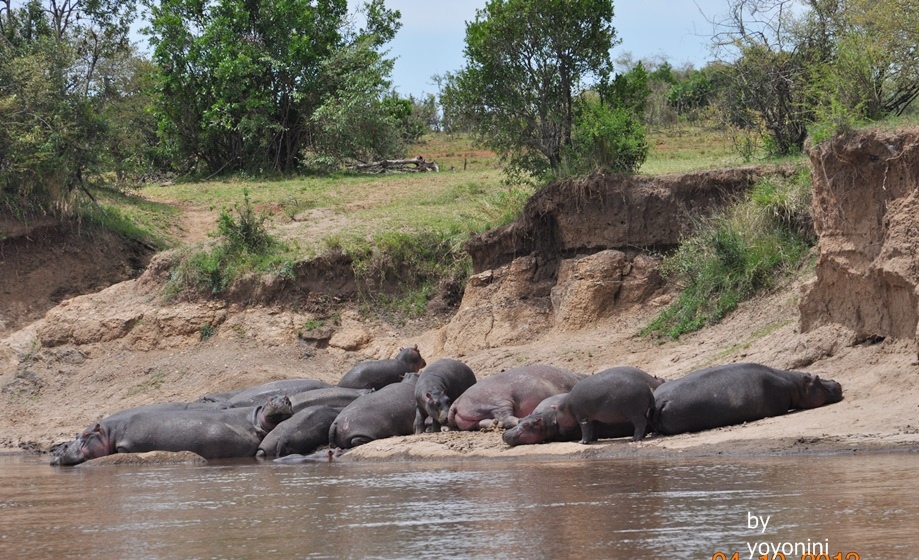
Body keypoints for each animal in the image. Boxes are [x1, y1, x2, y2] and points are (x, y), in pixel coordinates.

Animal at [446, 366, 584, 430]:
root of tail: (457, 401)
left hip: (472, 418)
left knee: (483, 422)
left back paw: (494, 424)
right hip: (501, 403)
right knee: (506, 418)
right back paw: (519, 419)